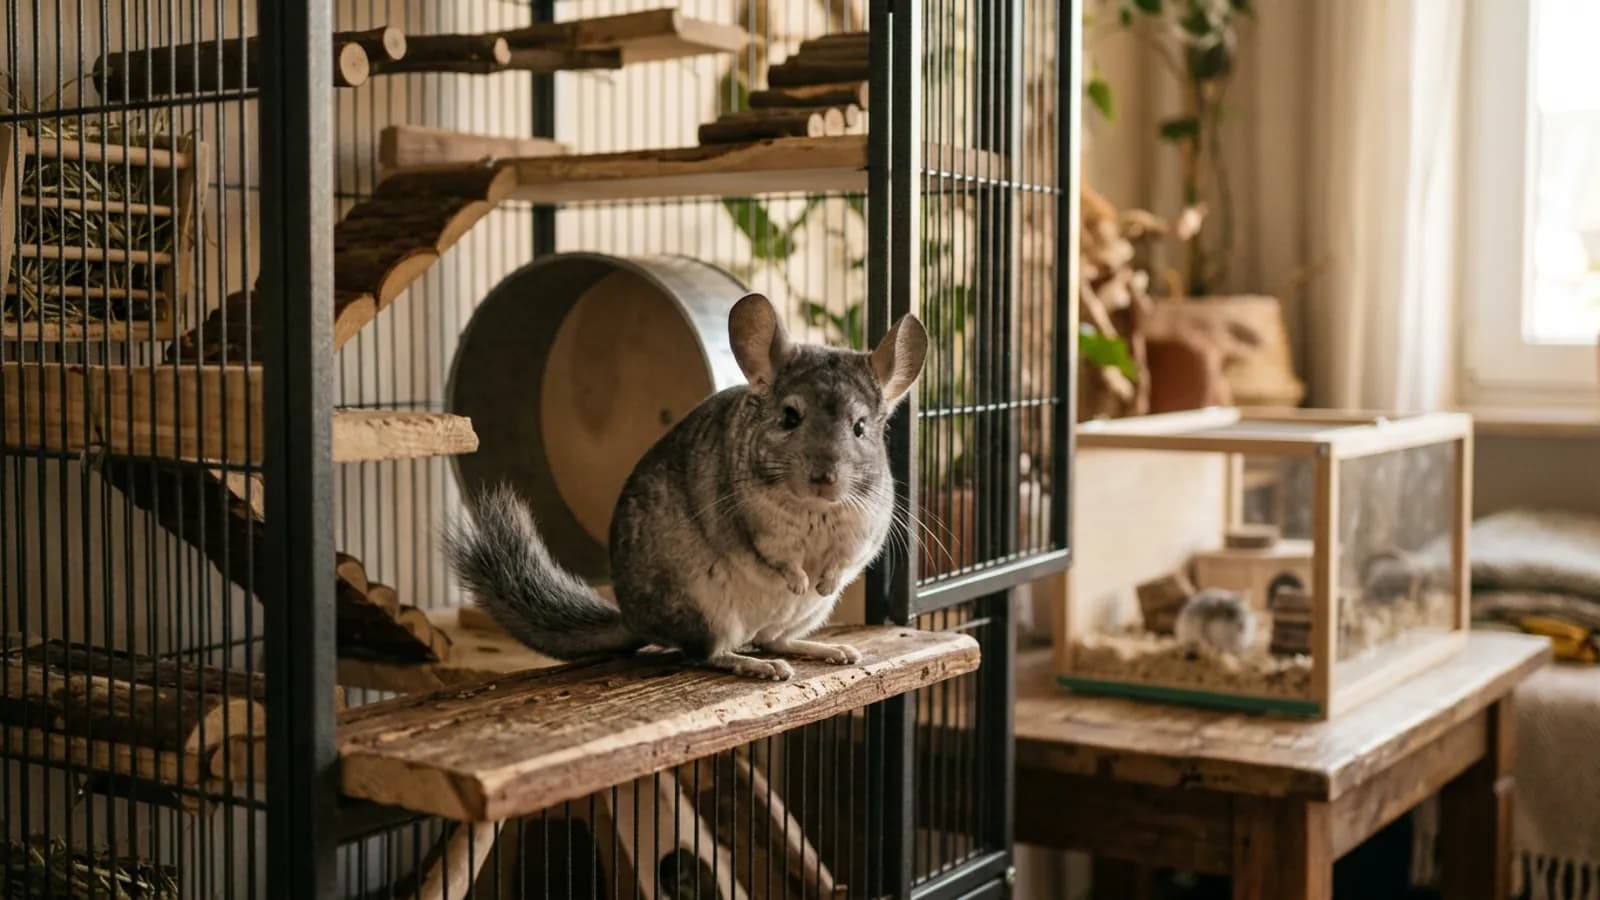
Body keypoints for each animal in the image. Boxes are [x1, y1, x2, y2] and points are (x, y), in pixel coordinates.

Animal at [445, 293, 928, 681]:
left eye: (860, 427)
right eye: (790, 417)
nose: (824, 480)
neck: (816, 510)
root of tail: (635, 619)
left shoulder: (865, 533)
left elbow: (844, 562)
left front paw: (824, 582)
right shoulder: (753, 528)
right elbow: (776, 558)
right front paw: (797, 579)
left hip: (804, 616)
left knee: (773, 639)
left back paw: (830, 649)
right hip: (705, 609)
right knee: (706, 654)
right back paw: (757, 666)